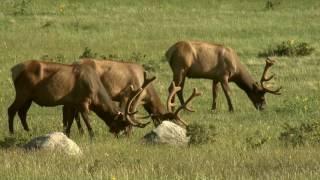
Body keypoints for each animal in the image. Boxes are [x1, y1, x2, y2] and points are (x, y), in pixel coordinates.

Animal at [7, 59, 146, 137]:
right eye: (122, 123)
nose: (121, 136)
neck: (95, 93)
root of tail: (13, 70)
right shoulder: (83, 101)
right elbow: (87, 121)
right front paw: (92, 136)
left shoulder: (72, 102)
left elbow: (70, 120)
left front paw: (67, 134)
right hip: (22, 92)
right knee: (11, 109)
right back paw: (12, 133)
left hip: (29, 97)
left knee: (22, 112)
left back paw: (28, 131)